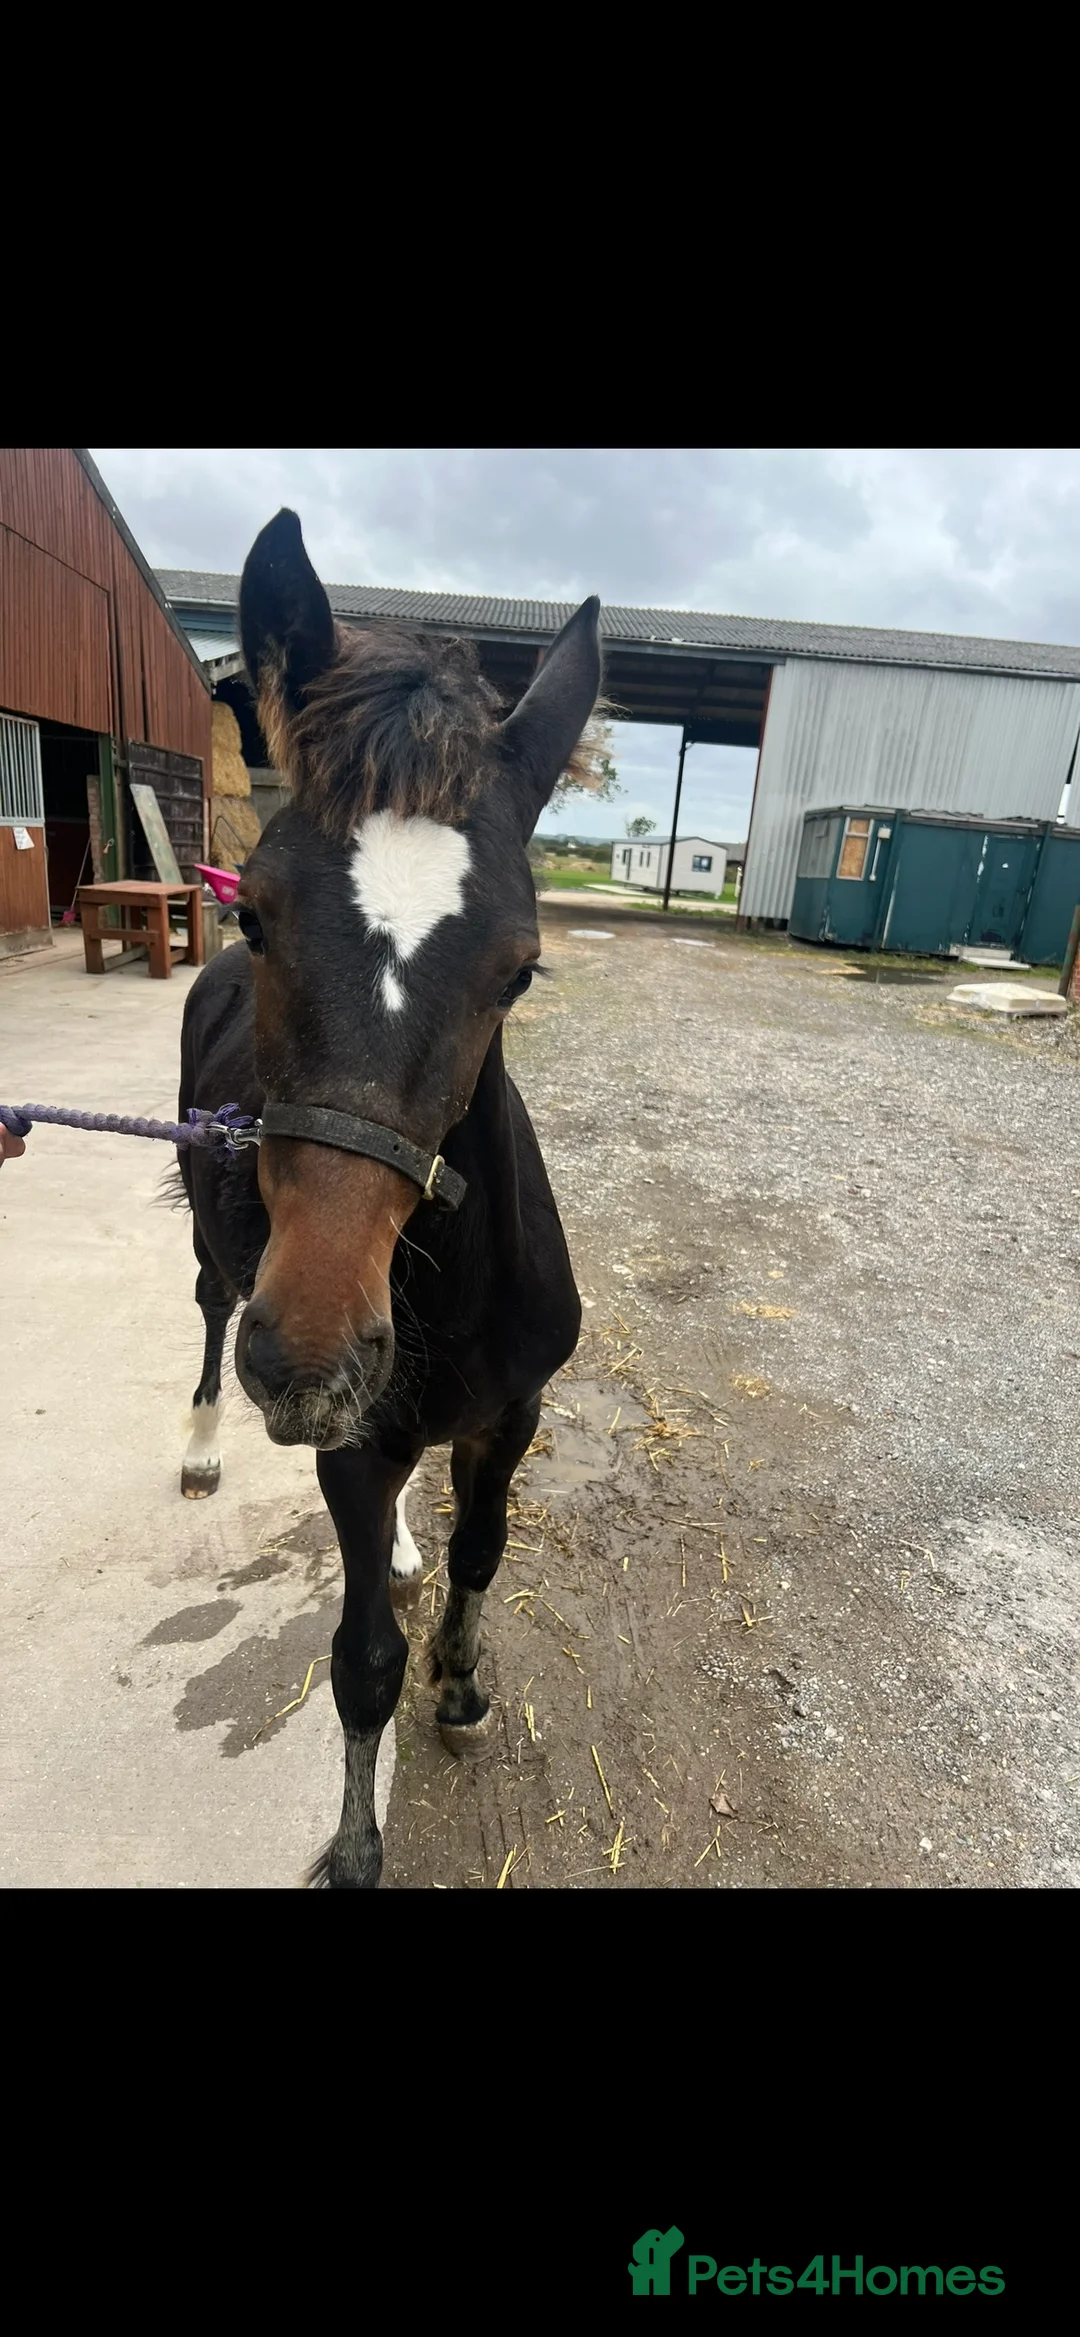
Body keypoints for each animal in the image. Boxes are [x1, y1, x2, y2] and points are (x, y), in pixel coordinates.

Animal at [176, 510, 602, 1888]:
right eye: (262, 917)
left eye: (521, 969)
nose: (312, 1355)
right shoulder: (347, 1451)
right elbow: (362, 1663)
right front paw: (357, 1844)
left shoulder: (510, 1411)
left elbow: (481, 1552)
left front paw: (462, 1683)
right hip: (218, 1257)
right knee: (206, 1313)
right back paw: (200, 1446)